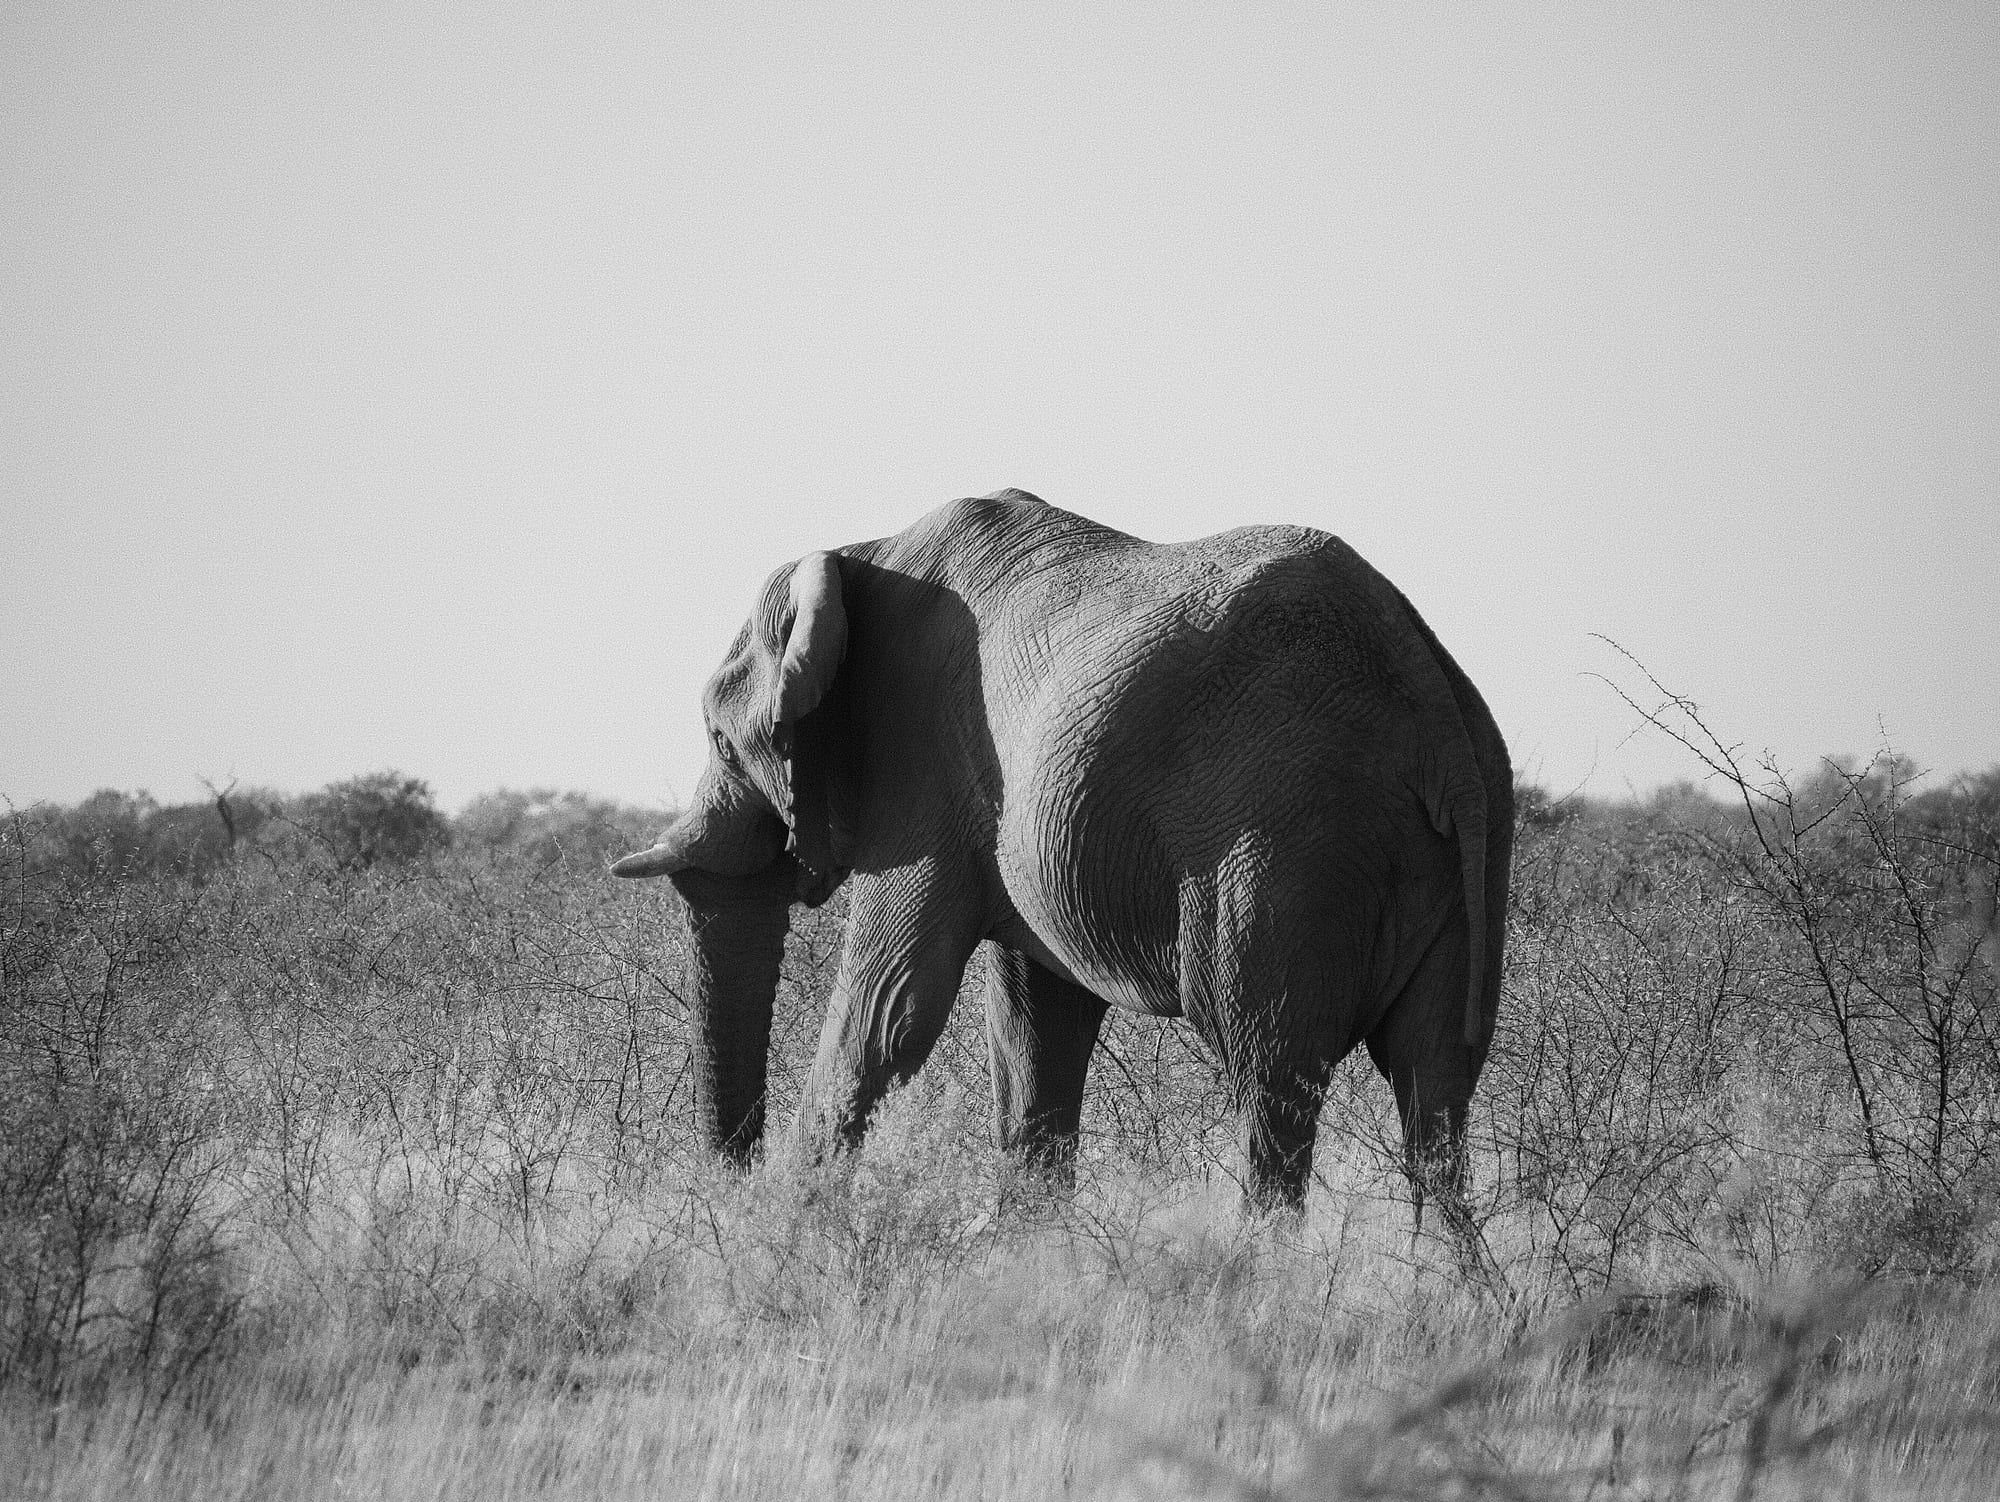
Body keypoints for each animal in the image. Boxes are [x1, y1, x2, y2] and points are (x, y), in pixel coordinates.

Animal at [614, 489, 1511, 1216]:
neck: (856, 554)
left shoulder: (919, 770)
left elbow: (889, 1007)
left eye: (721, 742)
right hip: (1468, 851)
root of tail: (1431, 701)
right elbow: (1033, 1035)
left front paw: (771, 1234)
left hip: (1287, 845)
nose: (727, 1182)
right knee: (1435, 1091)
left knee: (1271, 1078)